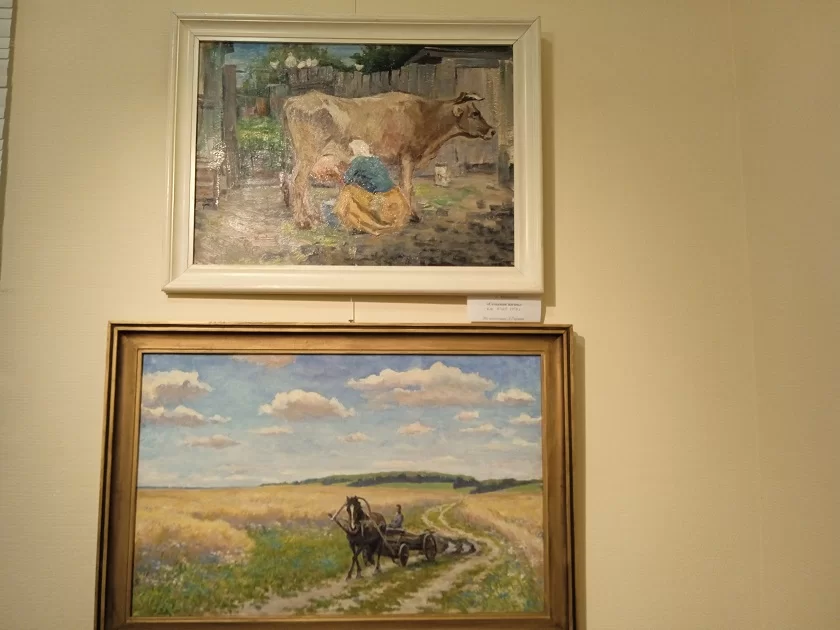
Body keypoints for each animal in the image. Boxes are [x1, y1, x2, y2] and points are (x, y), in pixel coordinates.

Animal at [281, 90, 497, 229]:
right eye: (475, 113)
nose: (493, 130)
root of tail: (294, 100)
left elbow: (402, 185)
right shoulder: (408, 156)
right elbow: (408, 186)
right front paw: (414, 215)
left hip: (301, 156)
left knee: (297, 181)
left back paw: (312, 216)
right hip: (309, 154)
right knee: (298, 181)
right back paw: (303, 221)